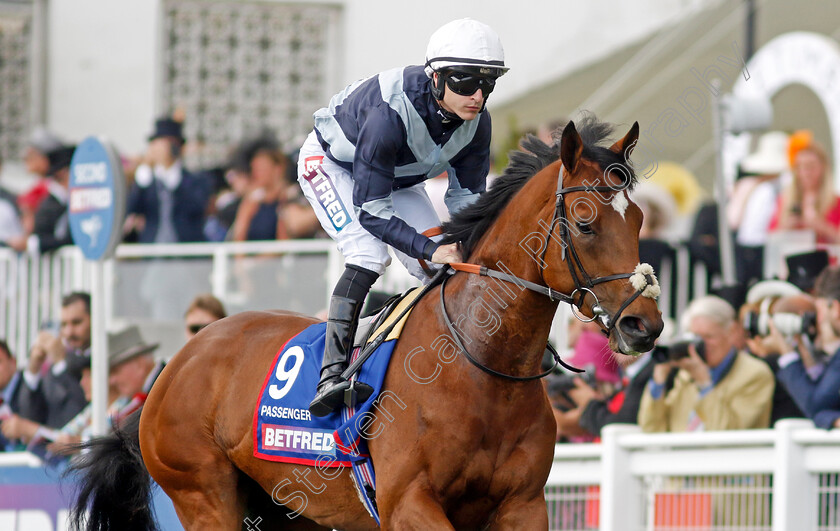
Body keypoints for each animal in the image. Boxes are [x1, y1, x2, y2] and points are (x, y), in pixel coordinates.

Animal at [70, 116, 664, 531]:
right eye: (585, 222)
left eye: (638, 218)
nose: (645, 324)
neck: (482, 368)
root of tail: (174, 364)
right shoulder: (409, 502)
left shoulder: (522, 505)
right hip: (204, 495)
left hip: (289, 509)